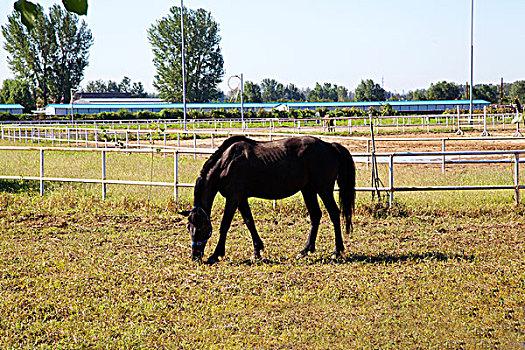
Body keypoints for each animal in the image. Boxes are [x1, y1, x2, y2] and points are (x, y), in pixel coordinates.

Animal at [181, 135, 356, 262]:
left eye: (202, 228)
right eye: (189, 228)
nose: (195, 256)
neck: (226, 163)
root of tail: (330, 146)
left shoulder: (233, 198)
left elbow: (225, 225)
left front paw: (216, 255)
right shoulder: (241, 199)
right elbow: (249, 222)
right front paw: (257, 251)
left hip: (323, 189)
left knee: (334, 213)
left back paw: (337, 251)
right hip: (308, 189)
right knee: (315, 215)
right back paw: (305, 250)